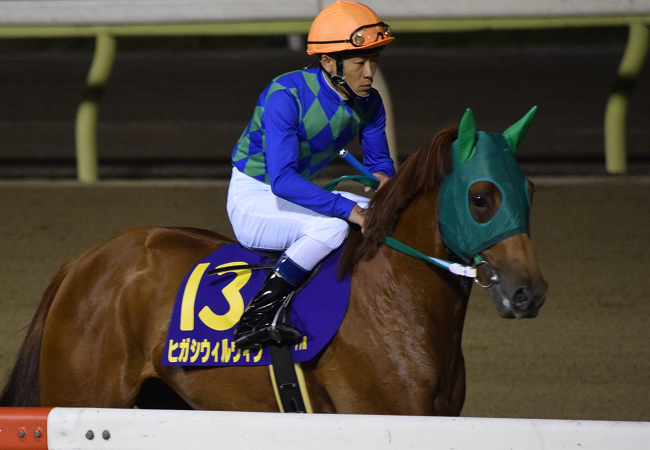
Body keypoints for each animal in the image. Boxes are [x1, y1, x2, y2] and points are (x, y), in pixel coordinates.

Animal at [0, 108, 547, 416]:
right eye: (481, 197)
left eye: (529, 190)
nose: (530, 292)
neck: (396, 305)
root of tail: (84, 260)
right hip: (83, 394)